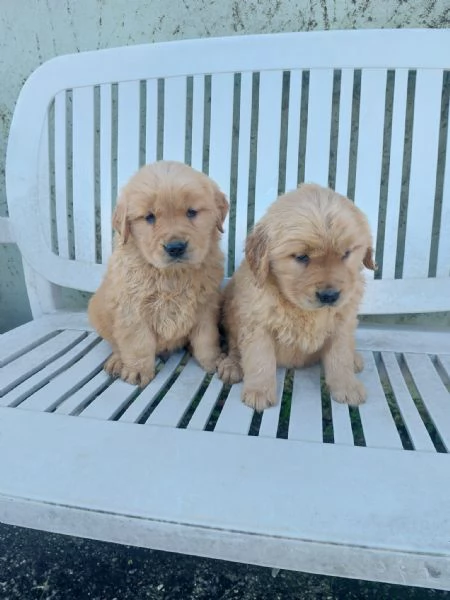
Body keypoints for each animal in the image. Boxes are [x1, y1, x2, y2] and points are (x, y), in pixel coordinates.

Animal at [89, 161, 229, 384]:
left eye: (191, 212)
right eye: (149, 217)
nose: (176, 248)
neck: (173, 275)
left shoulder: (206, 305)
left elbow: (206, 338)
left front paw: (212, 360)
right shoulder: (132, 309)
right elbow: (138, 342)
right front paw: (138, 370)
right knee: (116, 343)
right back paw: (117, 361)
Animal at [218, 184, 376, 412]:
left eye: (346, 254)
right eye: (301, 257)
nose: (329, 296)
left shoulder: (343, 322)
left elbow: (340, 355)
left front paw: (347, 386)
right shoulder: (257, 323)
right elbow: (260, 358)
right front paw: (259, 390)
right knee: (233, 346)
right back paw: (232, 365)